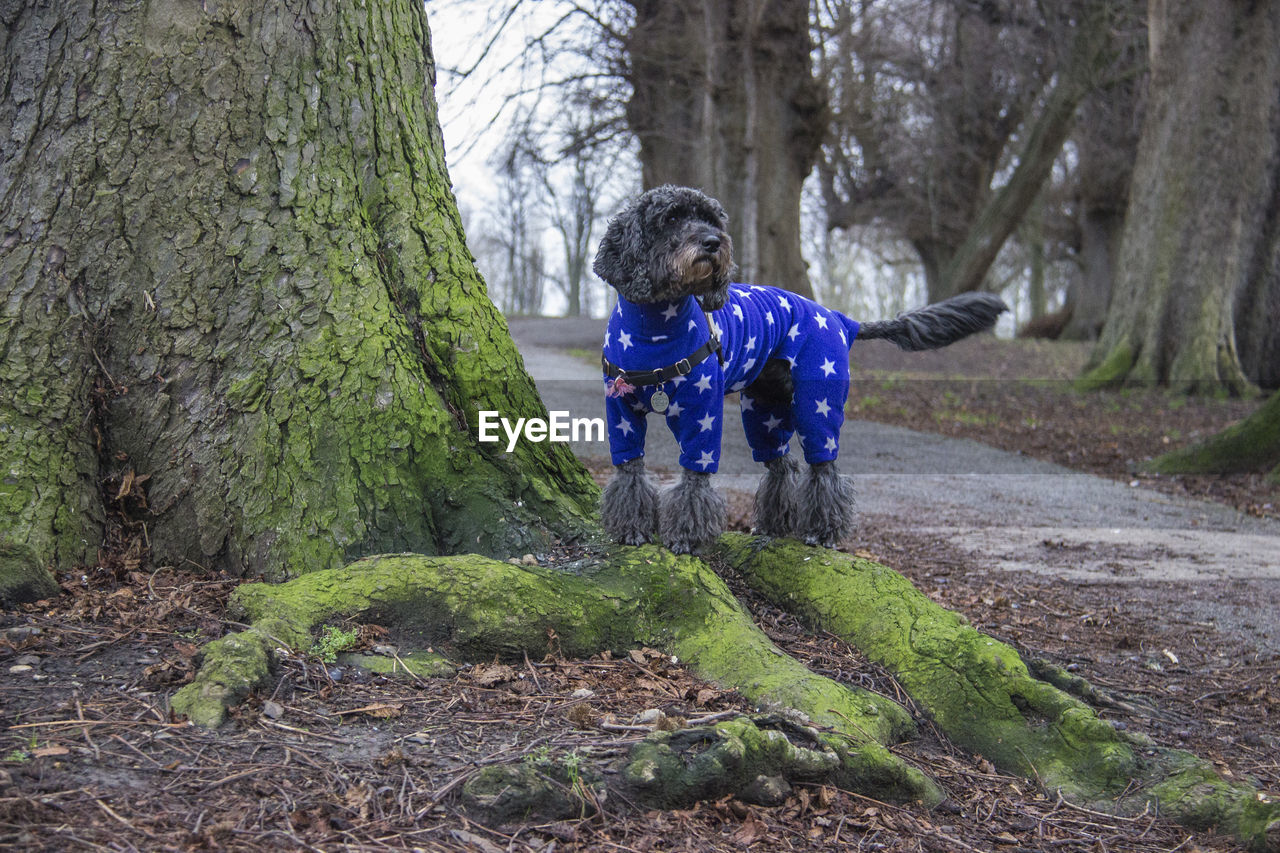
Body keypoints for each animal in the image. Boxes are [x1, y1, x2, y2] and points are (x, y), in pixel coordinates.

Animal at [593, 185, 1003, 550]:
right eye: (672, 218)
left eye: (710, 219)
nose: (713, 242)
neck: (653, 326)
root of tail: (839, 319)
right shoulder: (620, 414)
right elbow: (629, 472)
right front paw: (631, 529)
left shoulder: (701, 414)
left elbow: (695, 478)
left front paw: (686, 538)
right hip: (764, 413)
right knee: (782, 466)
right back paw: (775, 524)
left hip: (816, 407)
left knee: (825, 472)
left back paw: (823, 531)